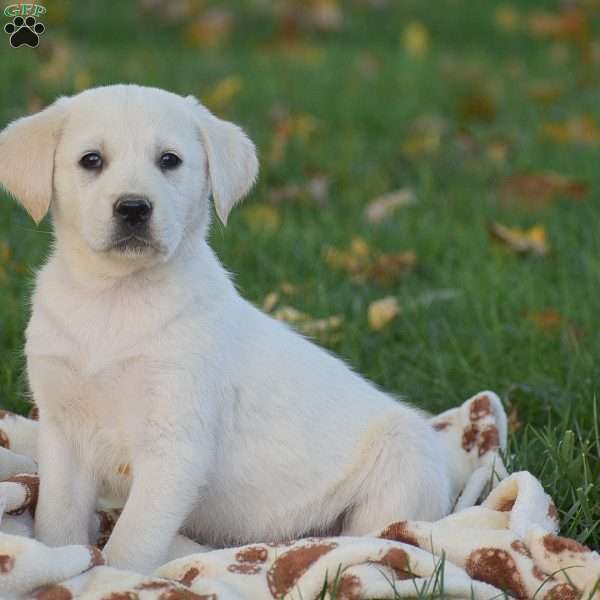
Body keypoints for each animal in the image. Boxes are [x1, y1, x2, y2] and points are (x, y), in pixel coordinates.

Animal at [0, 85, 450, 572]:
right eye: (91, 160)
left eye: (170, 160)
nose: (134, 208)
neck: (115, 298)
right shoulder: (63, 433)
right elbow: (57, 523)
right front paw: (60, 561)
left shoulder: (174, 443)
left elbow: (130, 546)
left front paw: (111, 576)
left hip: (404, 463)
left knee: (371, 535)